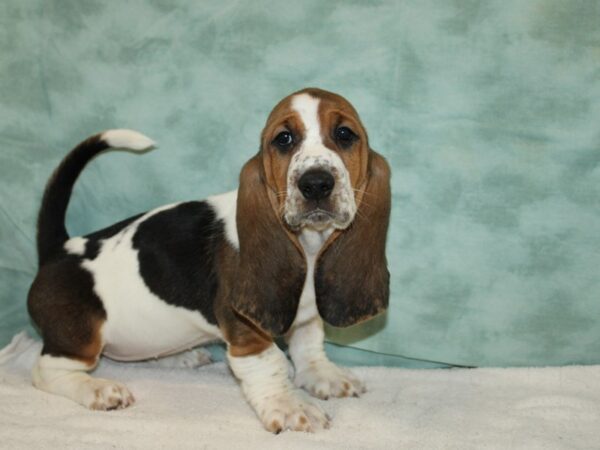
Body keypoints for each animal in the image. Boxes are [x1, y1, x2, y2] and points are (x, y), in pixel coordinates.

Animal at [28, 88, 392, 432]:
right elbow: (270, 364)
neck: (309, 245)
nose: (316, 183)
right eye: (284, 139)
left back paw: (179, 358)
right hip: (81, 338)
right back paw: (98, 389)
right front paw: (290, 408)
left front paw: (324, 376)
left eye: (345, 134)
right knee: (45, 371)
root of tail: (60, 248)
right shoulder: (246, 334)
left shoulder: (305, 318)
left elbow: (308, 346)